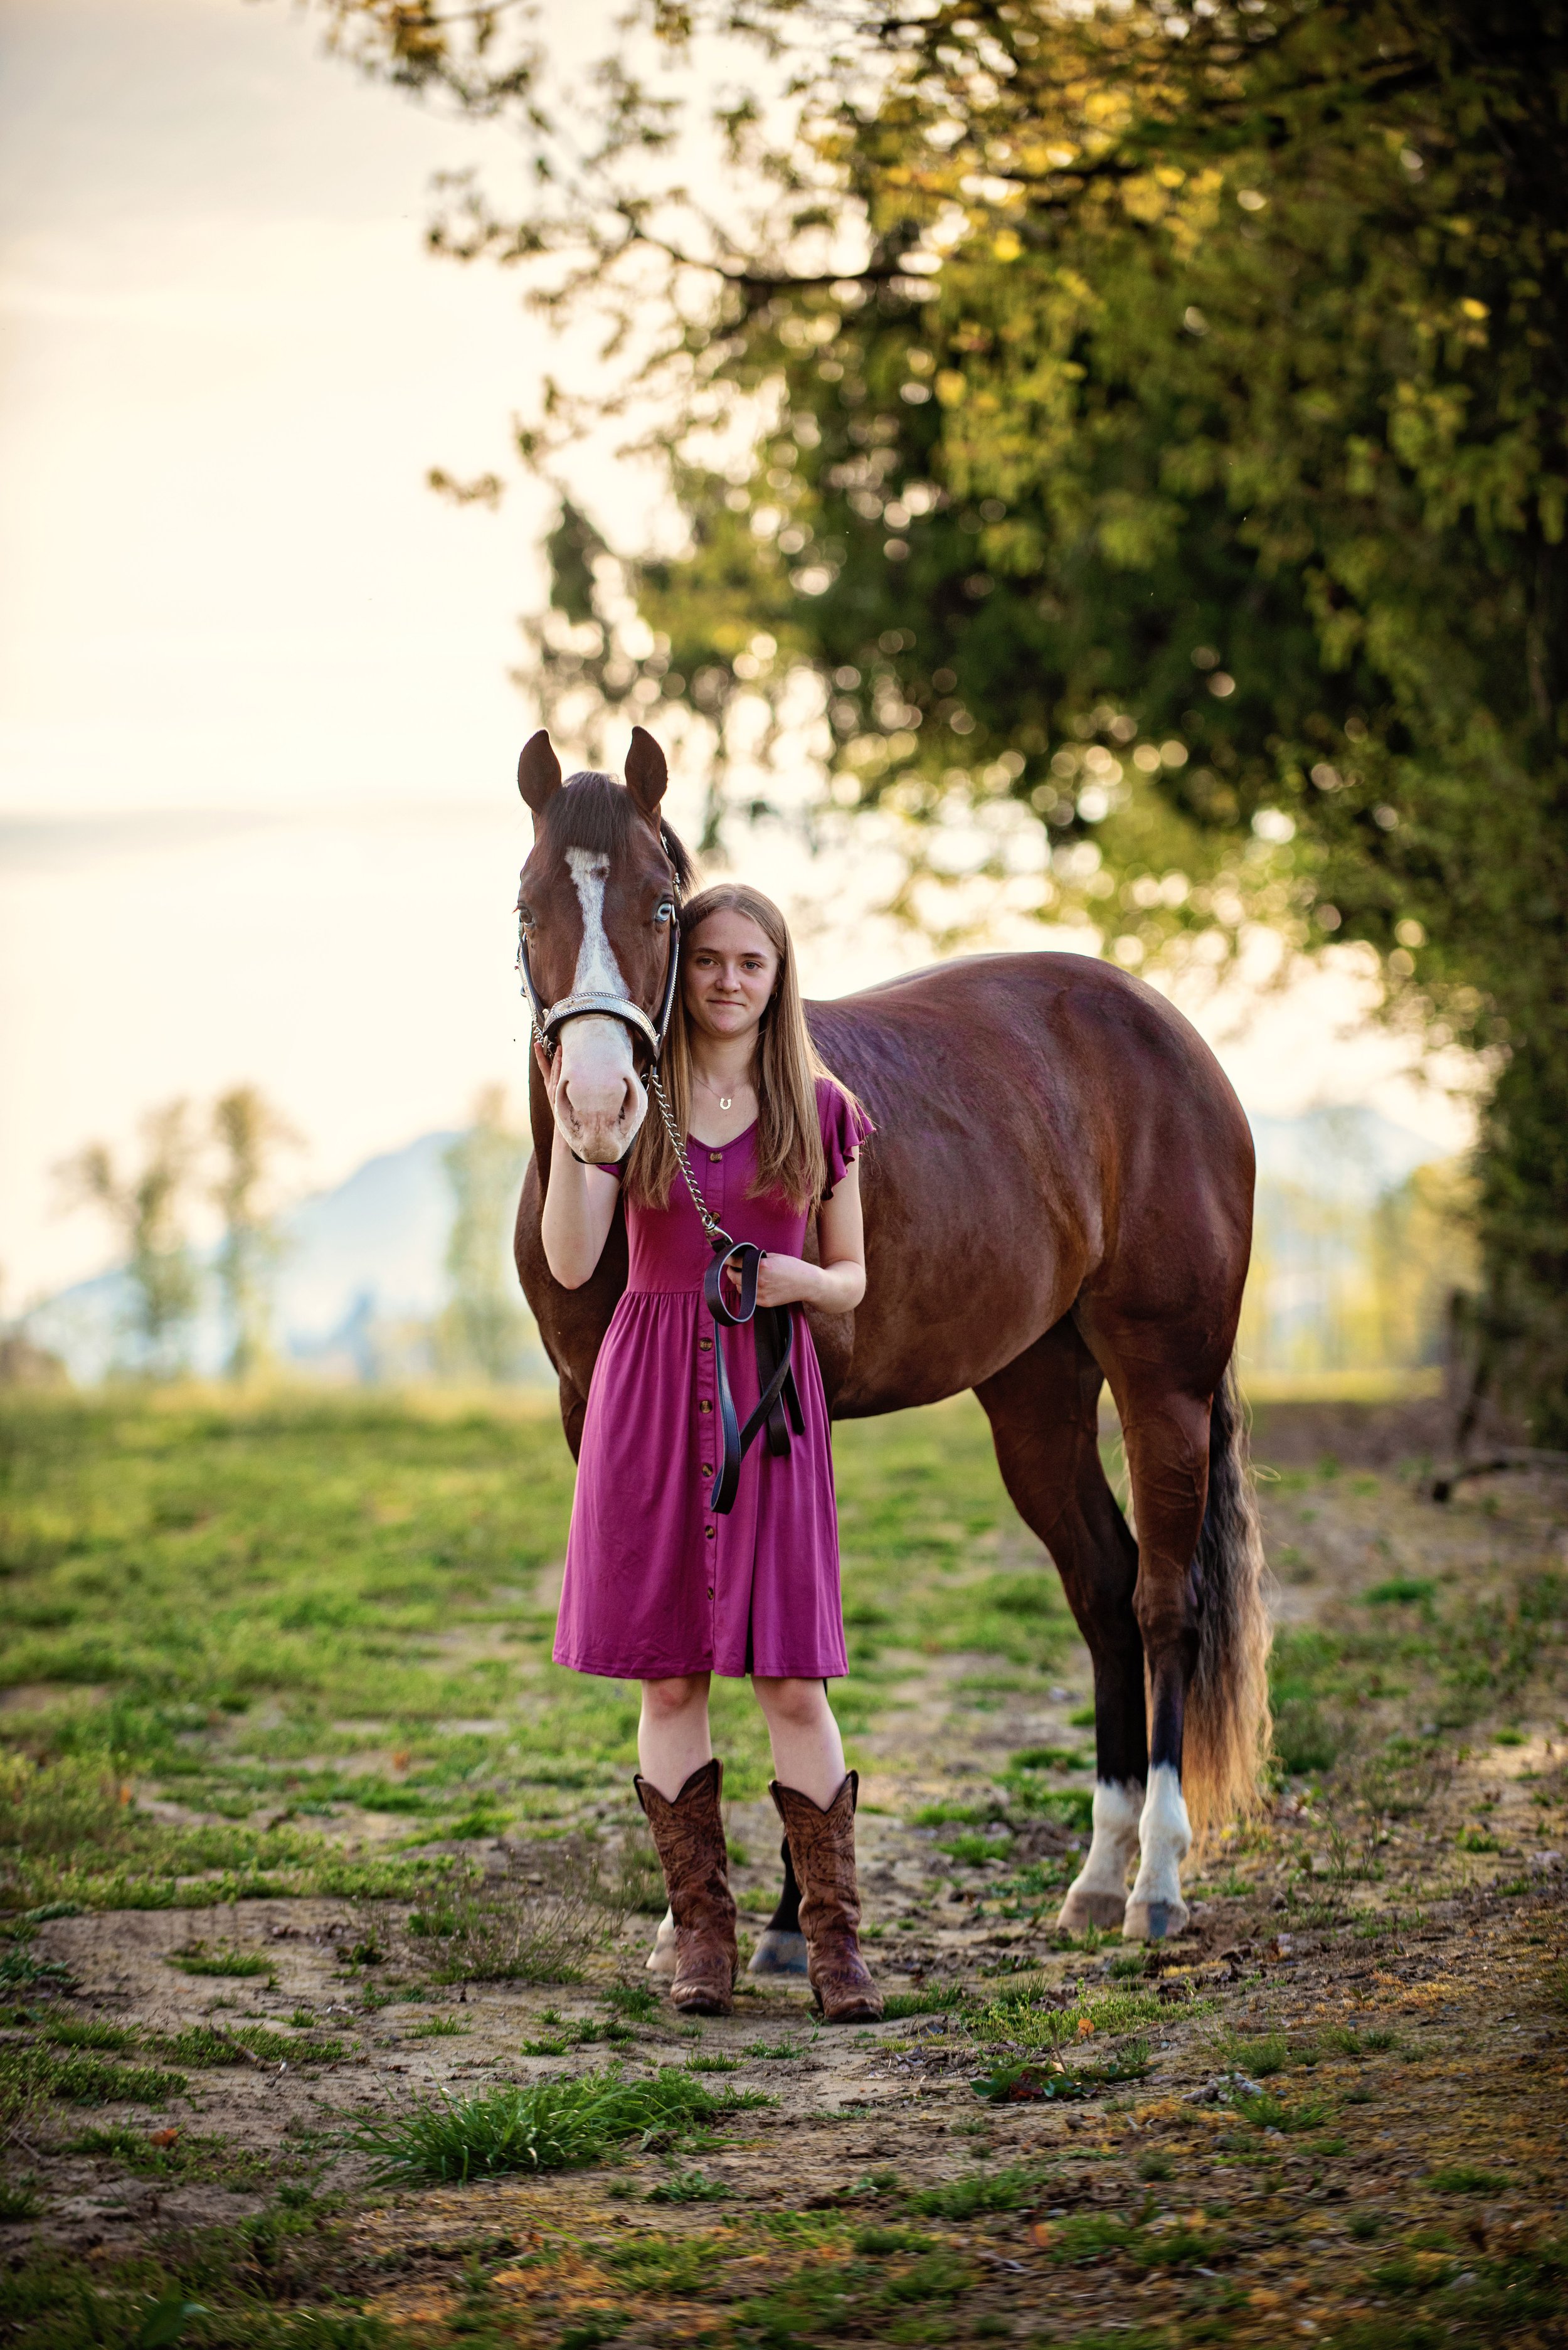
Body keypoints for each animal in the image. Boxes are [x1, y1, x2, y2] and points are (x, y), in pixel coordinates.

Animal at [511, 725, 1270, 1961]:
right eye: (529, 907)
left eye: (663, 906)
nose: (597, 1107)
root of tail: (1166, 1033)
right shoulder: (598, 1415)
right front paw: (696, 1922)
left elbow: (789, 1646)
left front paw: (782, 1921)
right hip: (1036, 1395)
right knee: (1102, 1587)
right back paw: (1095, 1874)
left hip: (1166, 1384)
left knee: (1164, 1601)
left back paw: (1154, 1880)